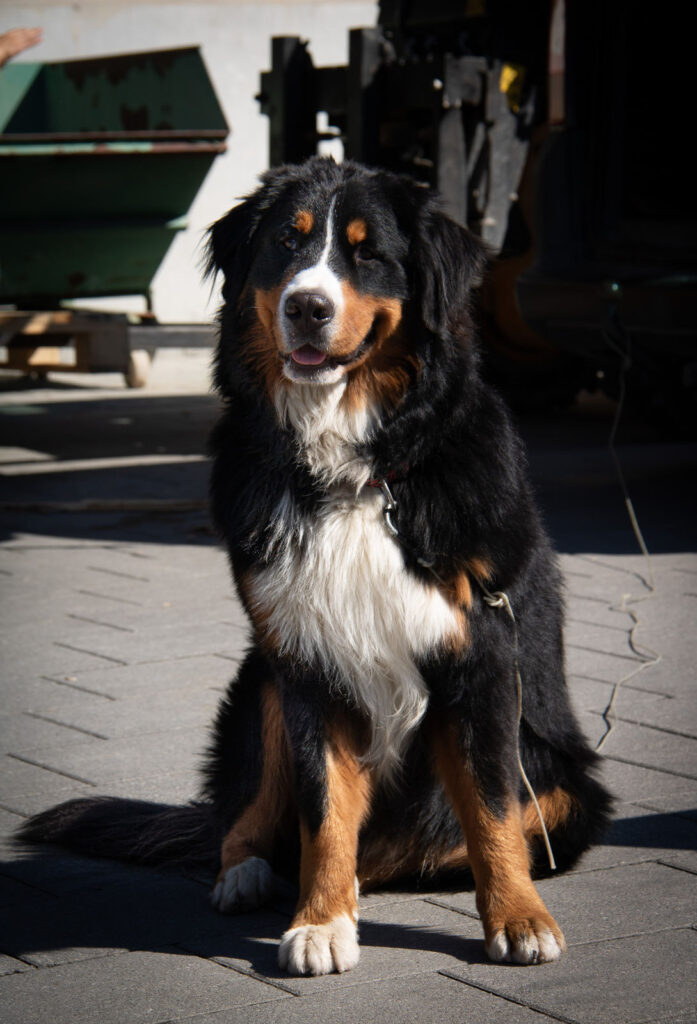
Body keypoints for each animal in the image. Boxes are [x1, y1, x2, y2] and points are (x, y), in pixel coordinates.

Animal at [19, 157, 610, 974]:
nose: (306, 306)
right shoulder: (304, 659)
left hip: (564, 781)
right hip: (258, 683)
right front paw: (322, 921)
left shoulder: (482, 654)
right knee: (246, 820)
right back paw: (249, 874)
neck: (353, 470)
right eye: (285, 244)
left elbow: (490, 807)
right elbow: (324, 808)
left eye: (367, 253)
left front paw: (519, 919)